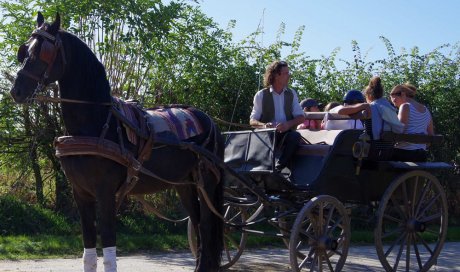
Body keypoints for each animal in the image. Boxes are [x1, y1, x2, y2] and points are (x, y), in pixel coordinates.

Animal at [10, 11, 225, 270]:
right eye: (25, 50)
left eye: (43, 53)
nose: (16, 91)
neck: (95, 124)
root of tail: (208, 120)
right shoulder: (81, 194)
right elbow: (89, 253)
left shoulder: (106, 194)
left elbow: (109, 253)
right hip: (184, 183)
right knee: (198, 226)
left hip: (207, 183)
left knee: (207, 226)